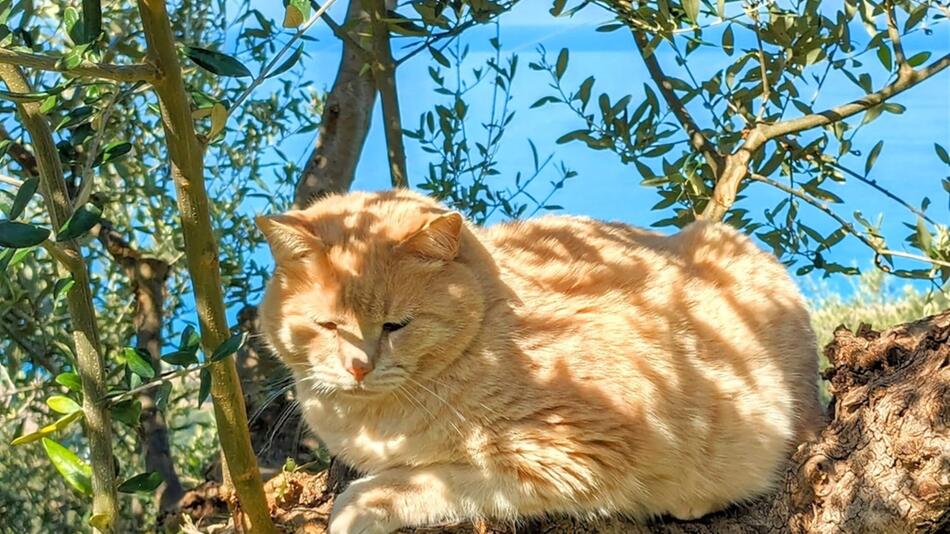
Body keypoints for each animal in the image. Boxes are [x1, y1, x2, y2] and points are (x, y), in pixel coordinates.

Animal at [255, 191, 824, 532]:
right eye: (328, 326)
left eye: (396, 325)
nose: (358, 367)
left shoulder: (575, 453)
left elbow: (430, 478)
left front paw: (359, 506)